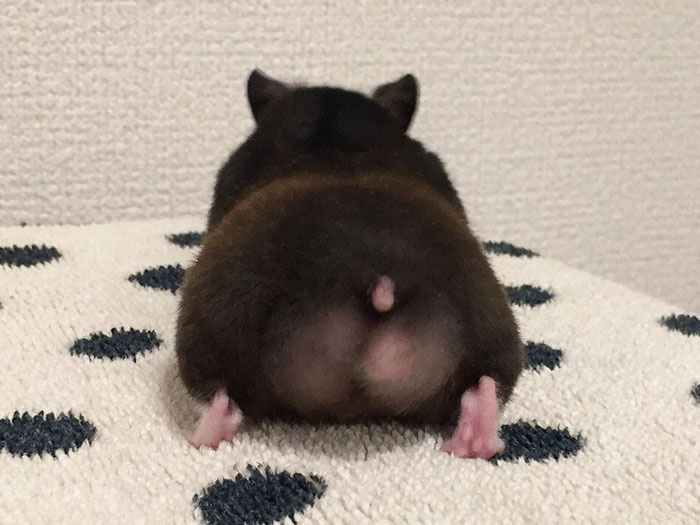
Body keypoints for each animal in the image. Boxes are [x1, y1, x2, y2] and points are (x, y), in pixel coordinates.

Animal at [174, 70, 524, 459]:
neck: (334, 132)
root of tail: (379, 284)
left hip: (210, 328)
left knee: (218, 397)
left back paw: (202, 435)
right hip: (493, 329)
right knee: (485, 390)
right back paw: (471, 440)